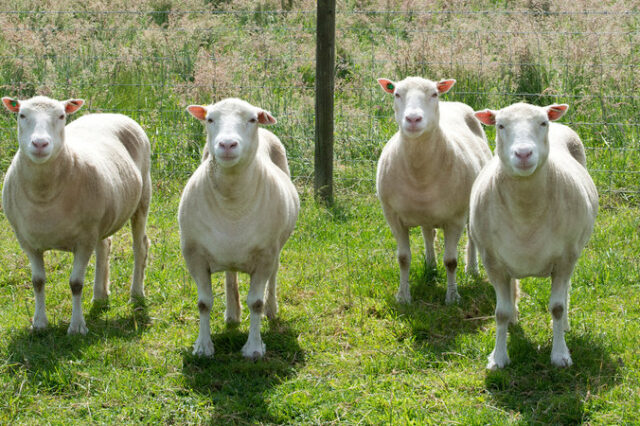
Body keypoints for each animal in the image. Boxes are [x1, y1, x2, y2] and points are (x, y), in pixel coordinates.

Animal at [0, 95, 151, 334]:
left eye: (61, 116)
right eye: (22, 115)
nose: (40, 144)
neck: (44, 195)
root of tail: (110, 114)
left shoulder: (83, 240)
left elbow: (76, 284)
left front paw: (77, 327)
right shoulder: (27, 242)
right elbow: (38, 281)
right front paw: (39, 323)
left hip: (142, 197)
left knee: (140, 247)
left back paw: (136, 294)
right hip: (101, 218)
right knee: (104, 246)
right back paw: (100, 296)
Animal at [180, 97, 300, 360]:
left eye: (252, 119)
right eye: (210, 119)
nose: (227, 144)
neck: (232, 200)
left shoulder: (265, 255)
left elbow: (255, 302)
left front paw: (254, 348)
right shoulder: (194, 254)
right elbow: (203, 303)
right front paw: (203, 346)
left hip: (276, 248)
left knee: (273, 278)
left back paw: (271, 310)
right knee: (230, 274)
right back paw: (232, 314)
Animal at [376, 75, 490, 302]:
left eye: (434, 94)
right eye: (397, 94)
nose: (413, 119)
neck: (419, 172)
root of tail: (452, 103)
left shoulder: (455, 218)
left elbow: (451, 261)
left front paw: (453, 297)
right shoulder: (392, 216)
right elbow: (403, 258)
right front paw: (403, 297)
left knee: (471, 236)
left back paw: (472, 269)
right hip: (425, 213)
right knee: (428, 233)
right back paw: (430, 266)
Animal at [470, 101, 600, 368]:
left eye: (542, 123)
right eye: (500, 125)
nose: (523, 154)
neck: (526, 213)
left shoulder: (565, 259)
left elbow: (557, 307)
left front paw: (560, 355)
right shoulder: (492, 261)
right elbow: (500, 312)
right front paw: (498, 357)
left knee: (566, 291)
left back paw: (566, 325)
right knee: (511, 292)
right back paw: (513, 318)